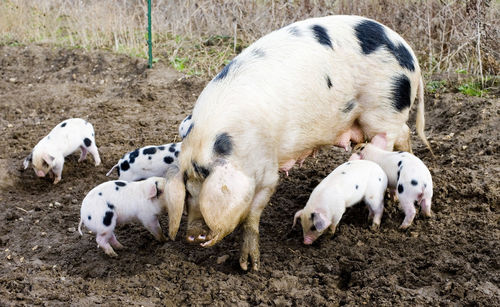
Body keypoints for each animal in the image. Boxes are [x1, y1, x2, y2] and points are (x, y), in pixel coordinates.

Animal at [170, 15, 432, 270]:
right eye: (189, 192)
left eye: (206, 182)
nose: (192, 235)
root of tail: (410, 55)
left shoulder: (267, 169)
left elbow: (253, 213)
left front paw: (250, 267)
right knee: (404, 135)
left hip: (383, 111)